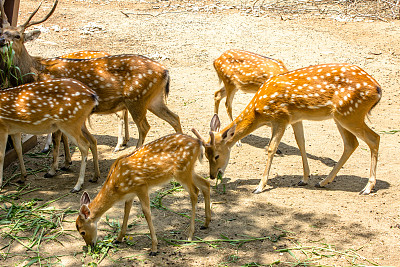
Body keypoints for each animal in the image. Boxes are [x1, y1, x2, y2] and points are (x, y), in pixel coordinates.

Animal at [0, 0, 182, 153]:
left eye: (18, 36)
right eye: (2, 31)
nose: (2, 40)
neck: (37, 72)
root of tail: (165, 71)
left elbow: (59, 138)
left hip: (136, 98)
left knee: (145, 127)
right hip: (153, 99)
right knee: (175, 117)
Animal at [194, 63, 382, 196]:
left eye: (216, 155)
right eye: (205, 155)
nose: (212, 175)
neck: (259, 111)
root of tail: (378, 90)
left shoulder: (280, 118)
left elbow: (271, 148)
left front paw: (259, 187)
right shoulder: (296, 118)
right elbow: (301, 143)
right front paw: (305, 178)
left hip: (349, 114)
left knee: (374, 138)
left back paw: (367, 188)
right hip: (341, 116)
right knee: (351, 143)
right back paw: (323, 181)